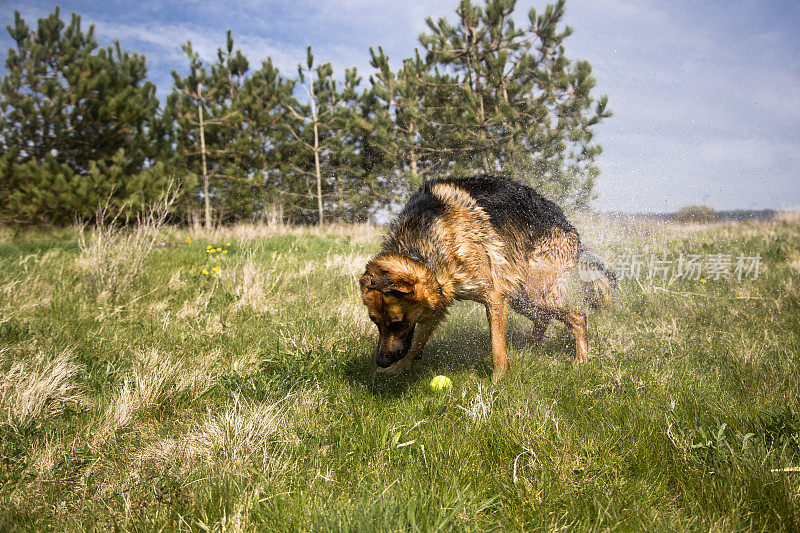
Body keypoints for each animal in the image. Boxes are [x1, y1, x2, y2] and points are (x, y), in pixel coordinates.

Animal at [360, 177, 616, 380]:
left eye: (398, 323)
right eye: (375, 321)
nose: (381, 361)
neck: (419, 249)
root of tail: (574, 234)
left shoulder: (494, 296)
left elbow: (497, 346)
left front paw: (498, 381)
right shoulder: (437, 302)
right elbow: (416, 343)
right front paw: (399, 369)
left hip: (533, 291)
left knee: (578, 317)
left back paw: (580, 359)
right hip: (520, 296)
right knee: (543, 318)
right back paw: (529, 349)